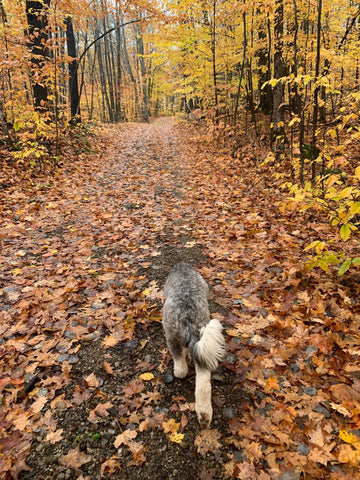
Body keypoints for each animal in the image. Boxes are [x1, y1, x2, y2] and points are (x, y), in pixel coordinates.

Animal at [163, 262, 225, 428]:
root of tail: (187, 319)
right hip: (203, 342)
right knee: (203, 382)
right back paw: (204, 415)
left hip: (171, 336)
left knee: (179, 360)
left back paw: (179, 371)